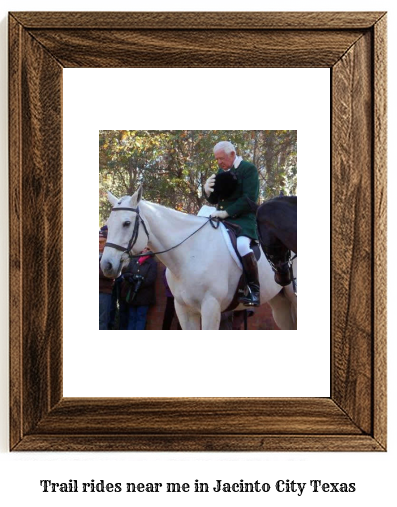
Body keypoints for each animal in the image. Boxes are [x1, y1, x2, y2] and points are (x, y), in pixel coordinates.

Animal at [100, 189, 296, 332]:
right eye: (109, 224)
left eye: (126, 223)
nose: (106, 265)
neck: (189, 254)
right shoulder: (184, 309)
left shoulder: (211, 307)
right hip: (280, 304)